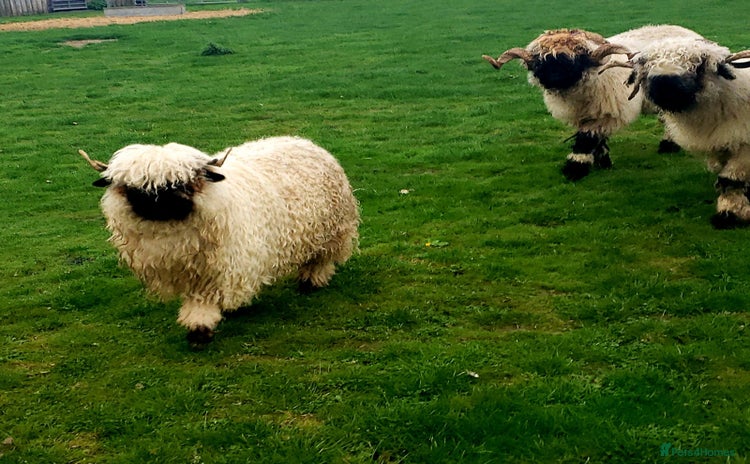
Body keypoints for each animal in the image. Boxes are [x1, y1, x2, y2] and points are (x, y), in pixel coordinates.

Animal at [80, 136, 360, 346]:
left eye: (182, 183)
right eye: (134, 188)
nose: (158, 203)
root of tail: (303, 141)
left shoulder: (218, 268)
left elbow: (203, 302)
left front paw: (199, 330)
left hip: (330, 232)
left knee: (321, 259)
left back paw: (311, 281)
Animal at [482, 25, 703, 181]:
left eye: (576, 60)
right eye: (541, 62)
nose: (554, 78)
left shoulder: (608, 111)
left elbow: (586, 138)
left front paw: (575, 169)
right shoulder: (585, 114)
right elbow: (597, 138)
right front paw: (602, 160)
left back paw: (668, 145)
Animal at [604, 37, 750, 228]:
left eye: (699, 64)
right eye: (647, 63)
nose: (664, 83)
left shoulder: (743, 143)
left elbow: (731, 179)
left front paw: (730, 214)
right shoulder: (723, 143)